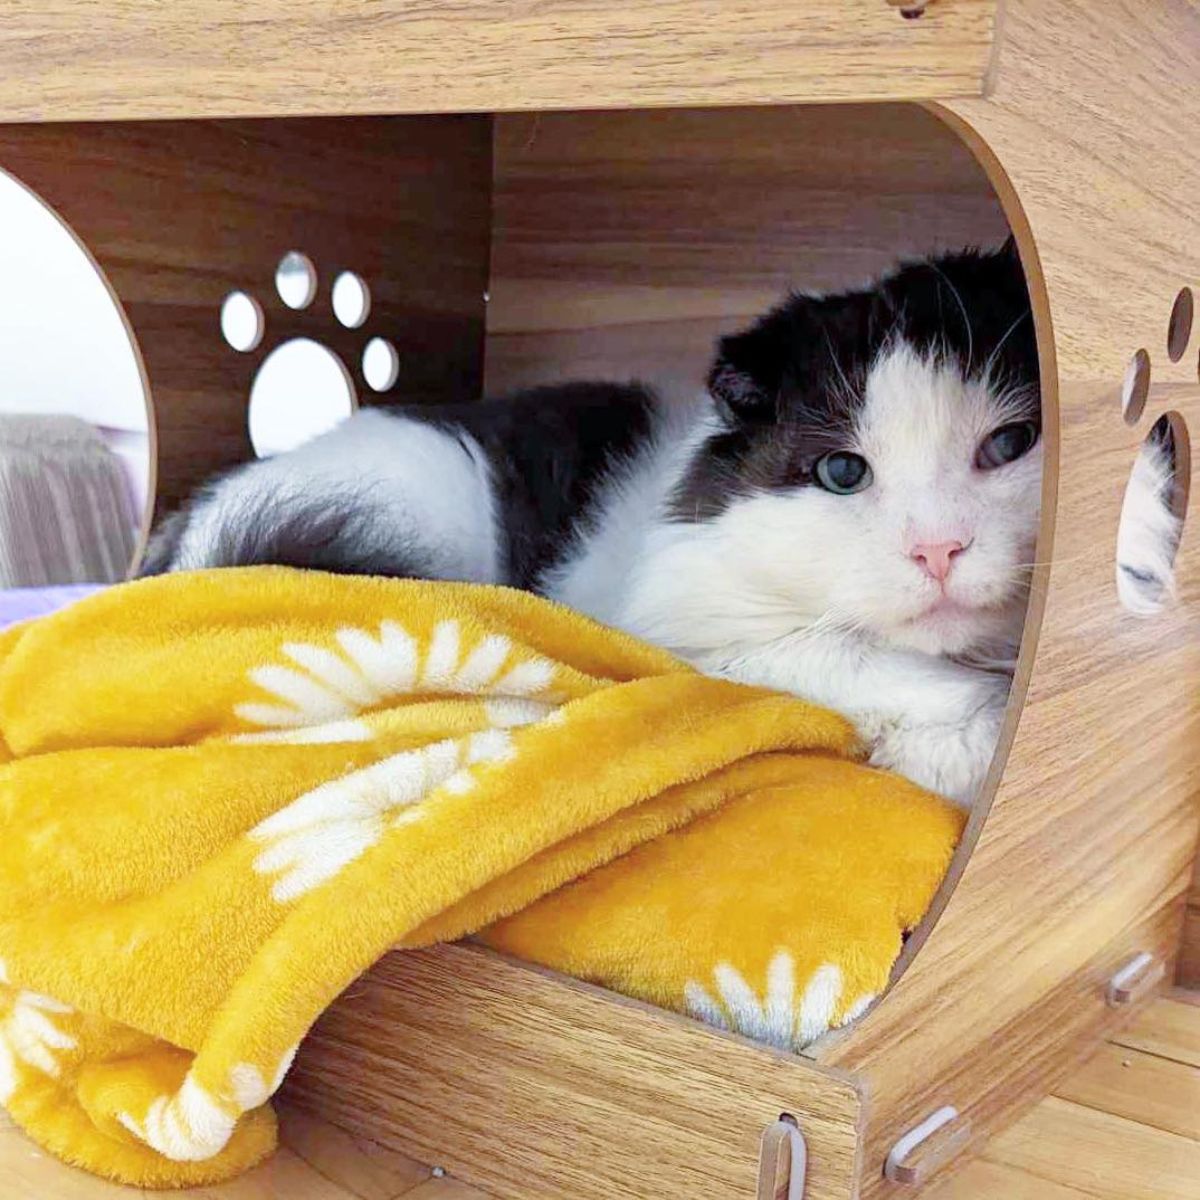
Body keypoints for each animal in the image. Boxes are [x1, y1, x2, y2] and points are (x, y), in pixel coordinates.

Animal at [142, 242, 1180, 806]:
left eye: (1010, 446)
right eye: (843, 473)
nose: (938, 549)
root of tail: (189, 534)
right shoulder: (701, 643)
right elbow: (874, 674)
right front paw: (956, 736)